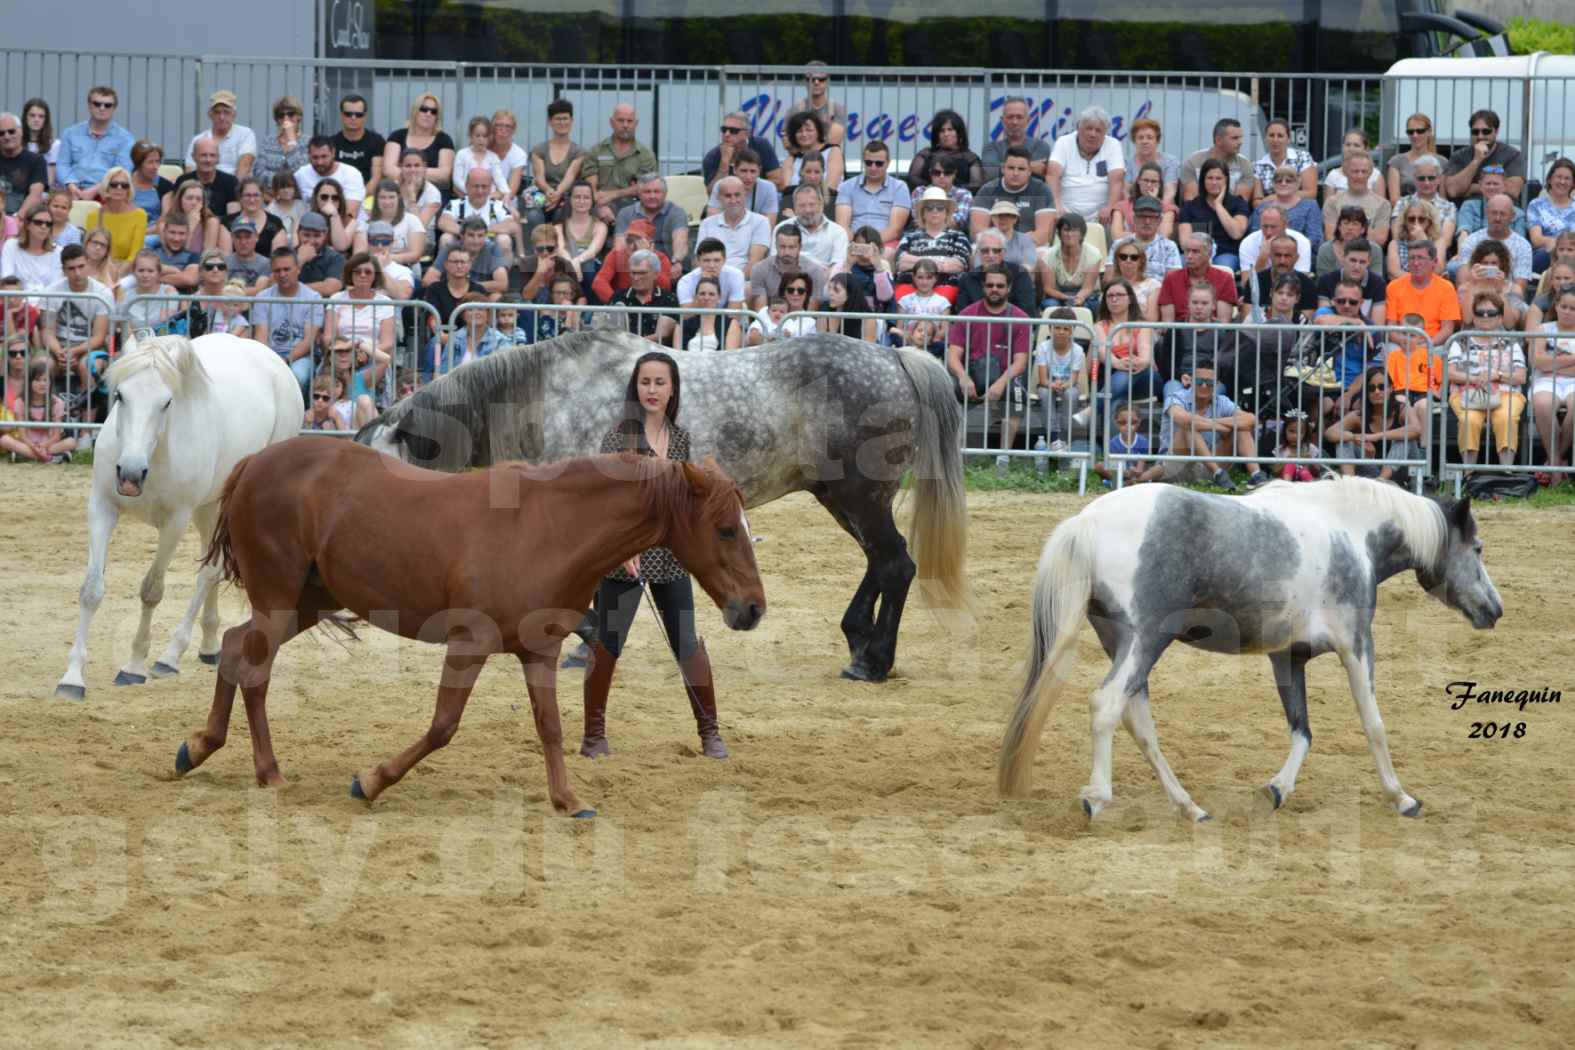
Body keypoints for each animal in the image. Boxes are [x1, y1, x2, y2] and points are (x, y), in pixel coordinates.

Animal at [54, 332, 303, 702]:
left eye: (167, 402)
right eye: (120, 395)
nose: (130, 475)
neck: (152, 455)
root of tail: (276, 364)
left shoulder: (174, 521)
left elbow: (152, 591)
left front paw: (134, 666)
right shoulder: (101, 507)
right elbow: (91, 589)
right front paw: (72, 678)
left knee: (209, 573)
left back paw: (170, 656)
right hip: (210, 507)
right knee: (215, 567)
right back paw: (210, 646)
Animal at [175, 434, 765, 812]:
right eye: (725, 528)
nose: (753, 608)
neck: (550, 528)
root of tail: (256, 461)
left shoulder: (540, 652)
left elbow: (550, 726)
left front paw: (568, 799)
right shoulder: (470, 643)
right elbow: (443, 725)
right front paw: (371, 781)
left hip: (306, 602)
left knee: (235, 648)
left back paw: (205, 750)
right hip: (279, 600)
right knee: (253, 667)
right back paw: (263, 768)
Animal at [357, 332, 970, 686]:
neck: (543, 395)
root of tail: (895, 356)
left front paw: (583, 641)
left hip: (860, 496)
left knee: (895, 564)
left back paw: (873, 659)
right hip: (841, 496)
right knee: (882, 564)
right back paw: (858, 638)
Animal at [995, 481, 1499, 824]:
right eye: (1476, 548)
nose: (1494, 609)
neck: (1349, 531)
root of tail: (1087, 522)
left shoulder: (1288, 657)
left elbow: (1301, 730)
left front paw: (1276, 790)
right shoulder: (1356, 646)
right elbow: (1372, 723)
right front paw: (1402, 797)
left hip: (1125, 647)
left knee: (1138, 721)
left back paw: (1189, 807)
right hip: (1145, 642)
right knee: (1106, 706)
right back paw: (1097, 797)